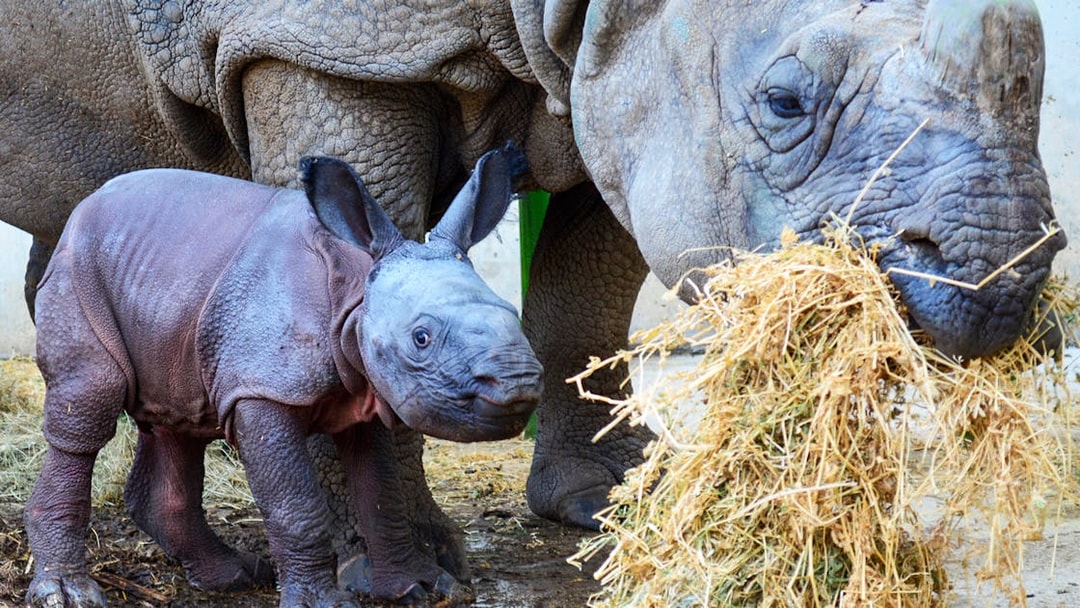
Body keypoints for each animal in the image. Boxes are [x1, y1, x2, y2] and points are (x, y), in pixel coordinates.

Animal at [23, 145, 542, 607]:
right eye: (421, 338)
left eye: (513, 314)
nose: (517, 382)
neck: (357, 289)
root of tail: (83, 207)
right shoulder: (262, 389)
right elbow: (297, 506)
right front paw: (324, 604)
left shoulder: (365, 389)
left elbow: (381, 493)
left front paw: (420, 587)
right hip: (77, 269)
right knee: (89, 406)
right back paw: (67, 593)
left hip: (169, 286)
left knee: (180, 416)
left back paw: (235, 576)